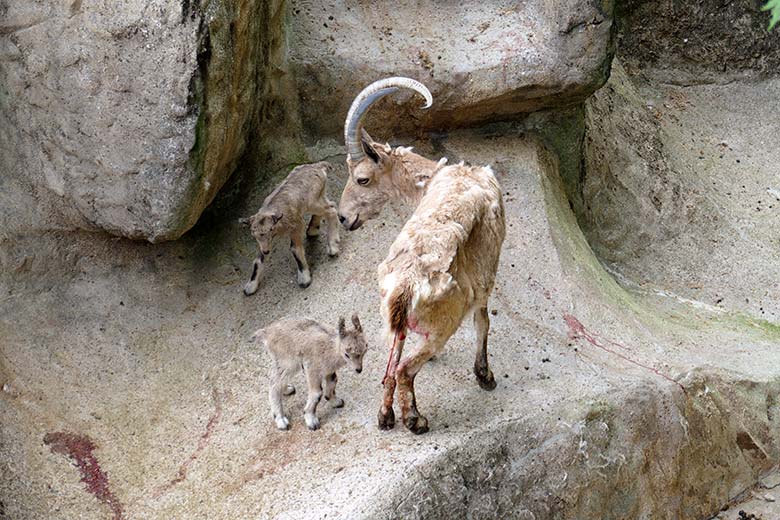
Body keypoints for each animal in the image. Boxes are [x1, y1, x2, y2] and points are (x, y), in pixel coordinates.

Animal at [241, 160, 338, 294]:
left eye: (270, 229)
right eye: (254, 235)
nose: (266, 251)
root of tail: (318, 166)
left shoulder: (296, 226)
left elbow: (295, 249)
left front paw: (304, 279)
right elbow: (258, 260)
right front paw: (250, 287)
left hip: (313, 202)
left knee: (332, 210)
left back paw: (333, 247)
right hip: (319, 196)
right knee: (329, 205)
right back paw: (312, 230)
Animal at [336, 77, 506, 434]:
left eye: (362, 178)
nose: (343, 218)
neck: (436, 178)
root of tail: (407, 286)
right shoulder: (485, 277)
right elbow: (483, 321)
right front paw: (484, 376)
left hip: (392, 316)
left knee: (390, 367)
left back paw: (386, 417)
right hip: (444, 323)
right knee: (404, 369)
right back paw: (415, 420)